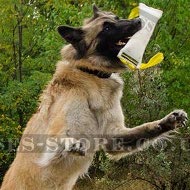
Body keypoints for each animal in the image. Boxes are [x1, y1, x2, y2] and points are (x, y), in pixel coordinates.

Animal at [0, 4, 188, 190]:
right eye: (106, 28)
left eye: (117, 18)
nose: (139, 20)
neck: (92, 74)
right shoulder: (53, 139)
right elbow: (59, 142)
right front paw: (70, 144)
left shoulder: (114, 136)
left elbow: (146, 128)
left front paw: (170, 120)